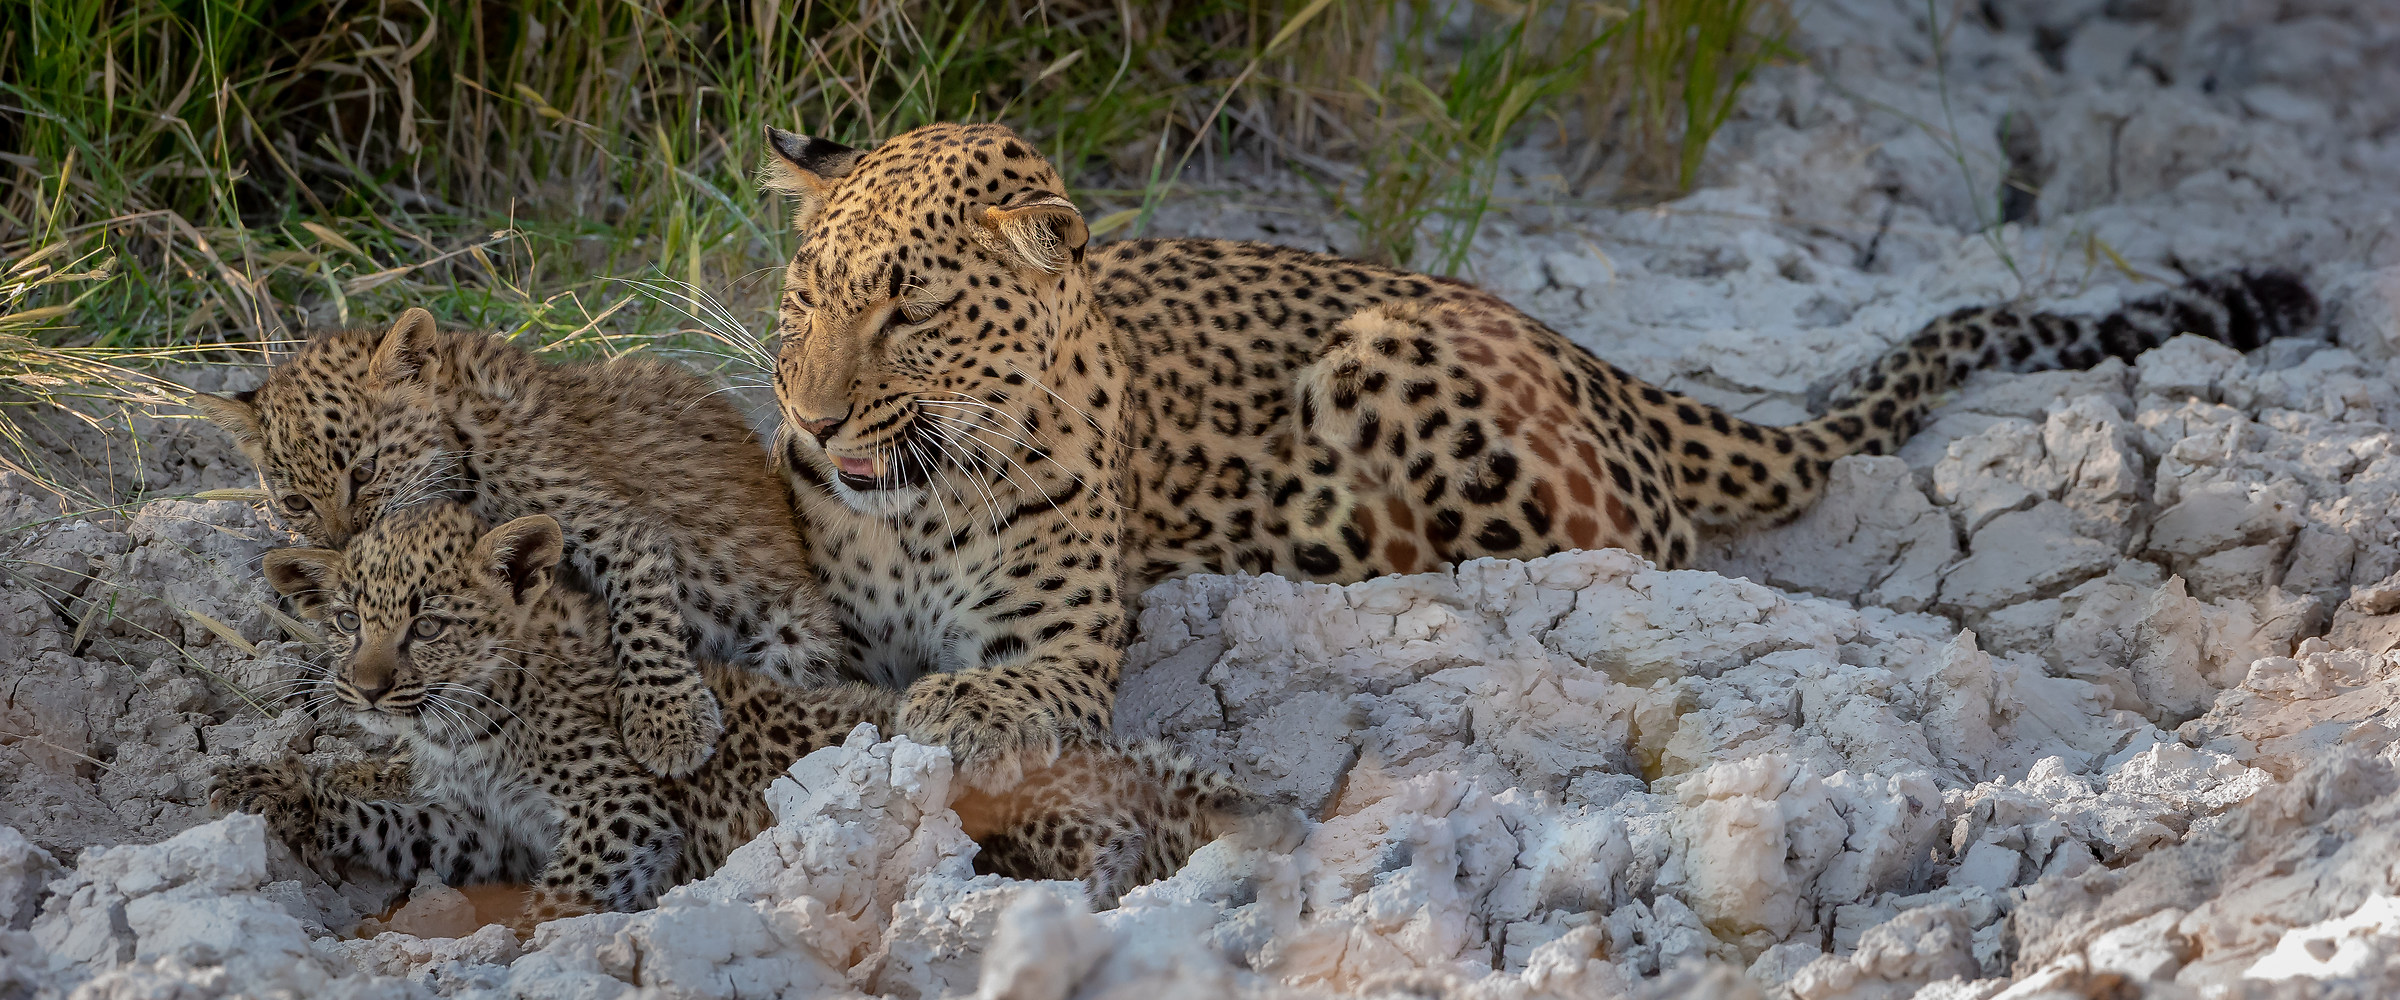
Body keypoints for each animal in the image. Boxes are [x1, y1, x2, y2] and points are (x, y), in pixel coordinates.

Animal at [192, 309, 842, 779]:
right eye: (294, 502)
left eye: (365, 471)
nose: (345, 547)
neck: (460, 439)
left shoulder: (614, 527)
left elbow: (643, 617)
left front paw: (668, 723)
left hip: (794, 639)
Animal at [213, 500, 1279, 930]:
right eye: (348, 621)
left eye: (426, 624)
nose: (366, 687)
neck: (465, 729)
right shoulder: (482, 829)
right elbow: (387, 819)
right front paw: (270, 785)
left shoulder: (618, 813)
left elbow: (559, 901)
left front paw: (517, 947)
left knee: (1110, 841)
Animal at [754, 120, 2321, 790]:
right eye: (807, 293)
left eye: (910, 307)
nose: (814, 419)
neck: (910, 506)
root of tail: (1588, 354)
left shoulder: (1069, 648)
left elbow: (1005, 683)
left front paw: (955, 711)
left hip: (1394, 365)